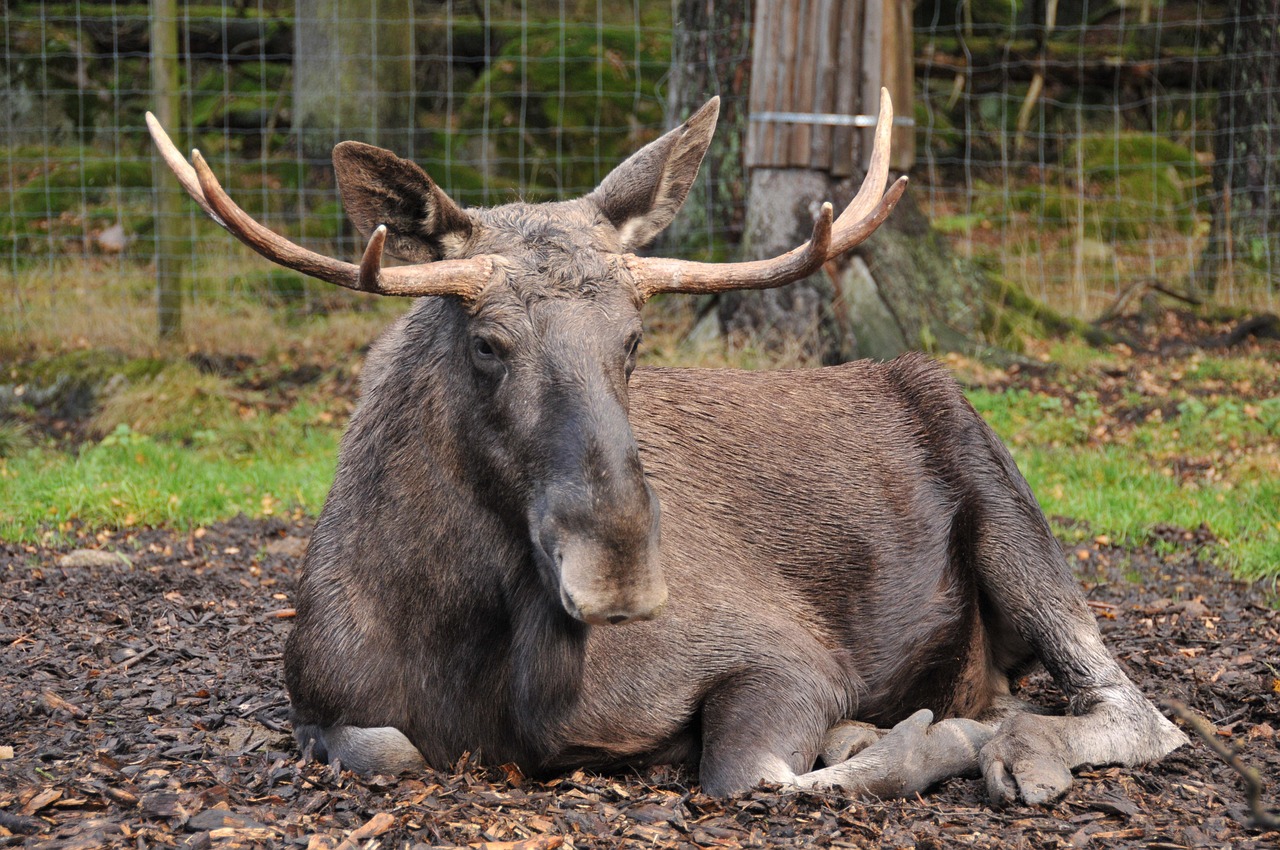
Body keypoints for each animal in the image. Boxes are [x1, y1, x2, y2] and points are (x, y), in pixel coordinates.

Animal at [147, 94, 1177, 803]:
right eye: (488, 342)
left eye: (634, 338)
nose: (620, 573)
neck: (475, 650)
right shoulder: (314, 700)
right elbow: (387, 749)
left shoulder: (791, 654)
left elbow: (752, 771)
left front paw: (920, 741)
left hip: (1008, 507)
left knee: (1137, 710)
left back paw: (1016, 746)